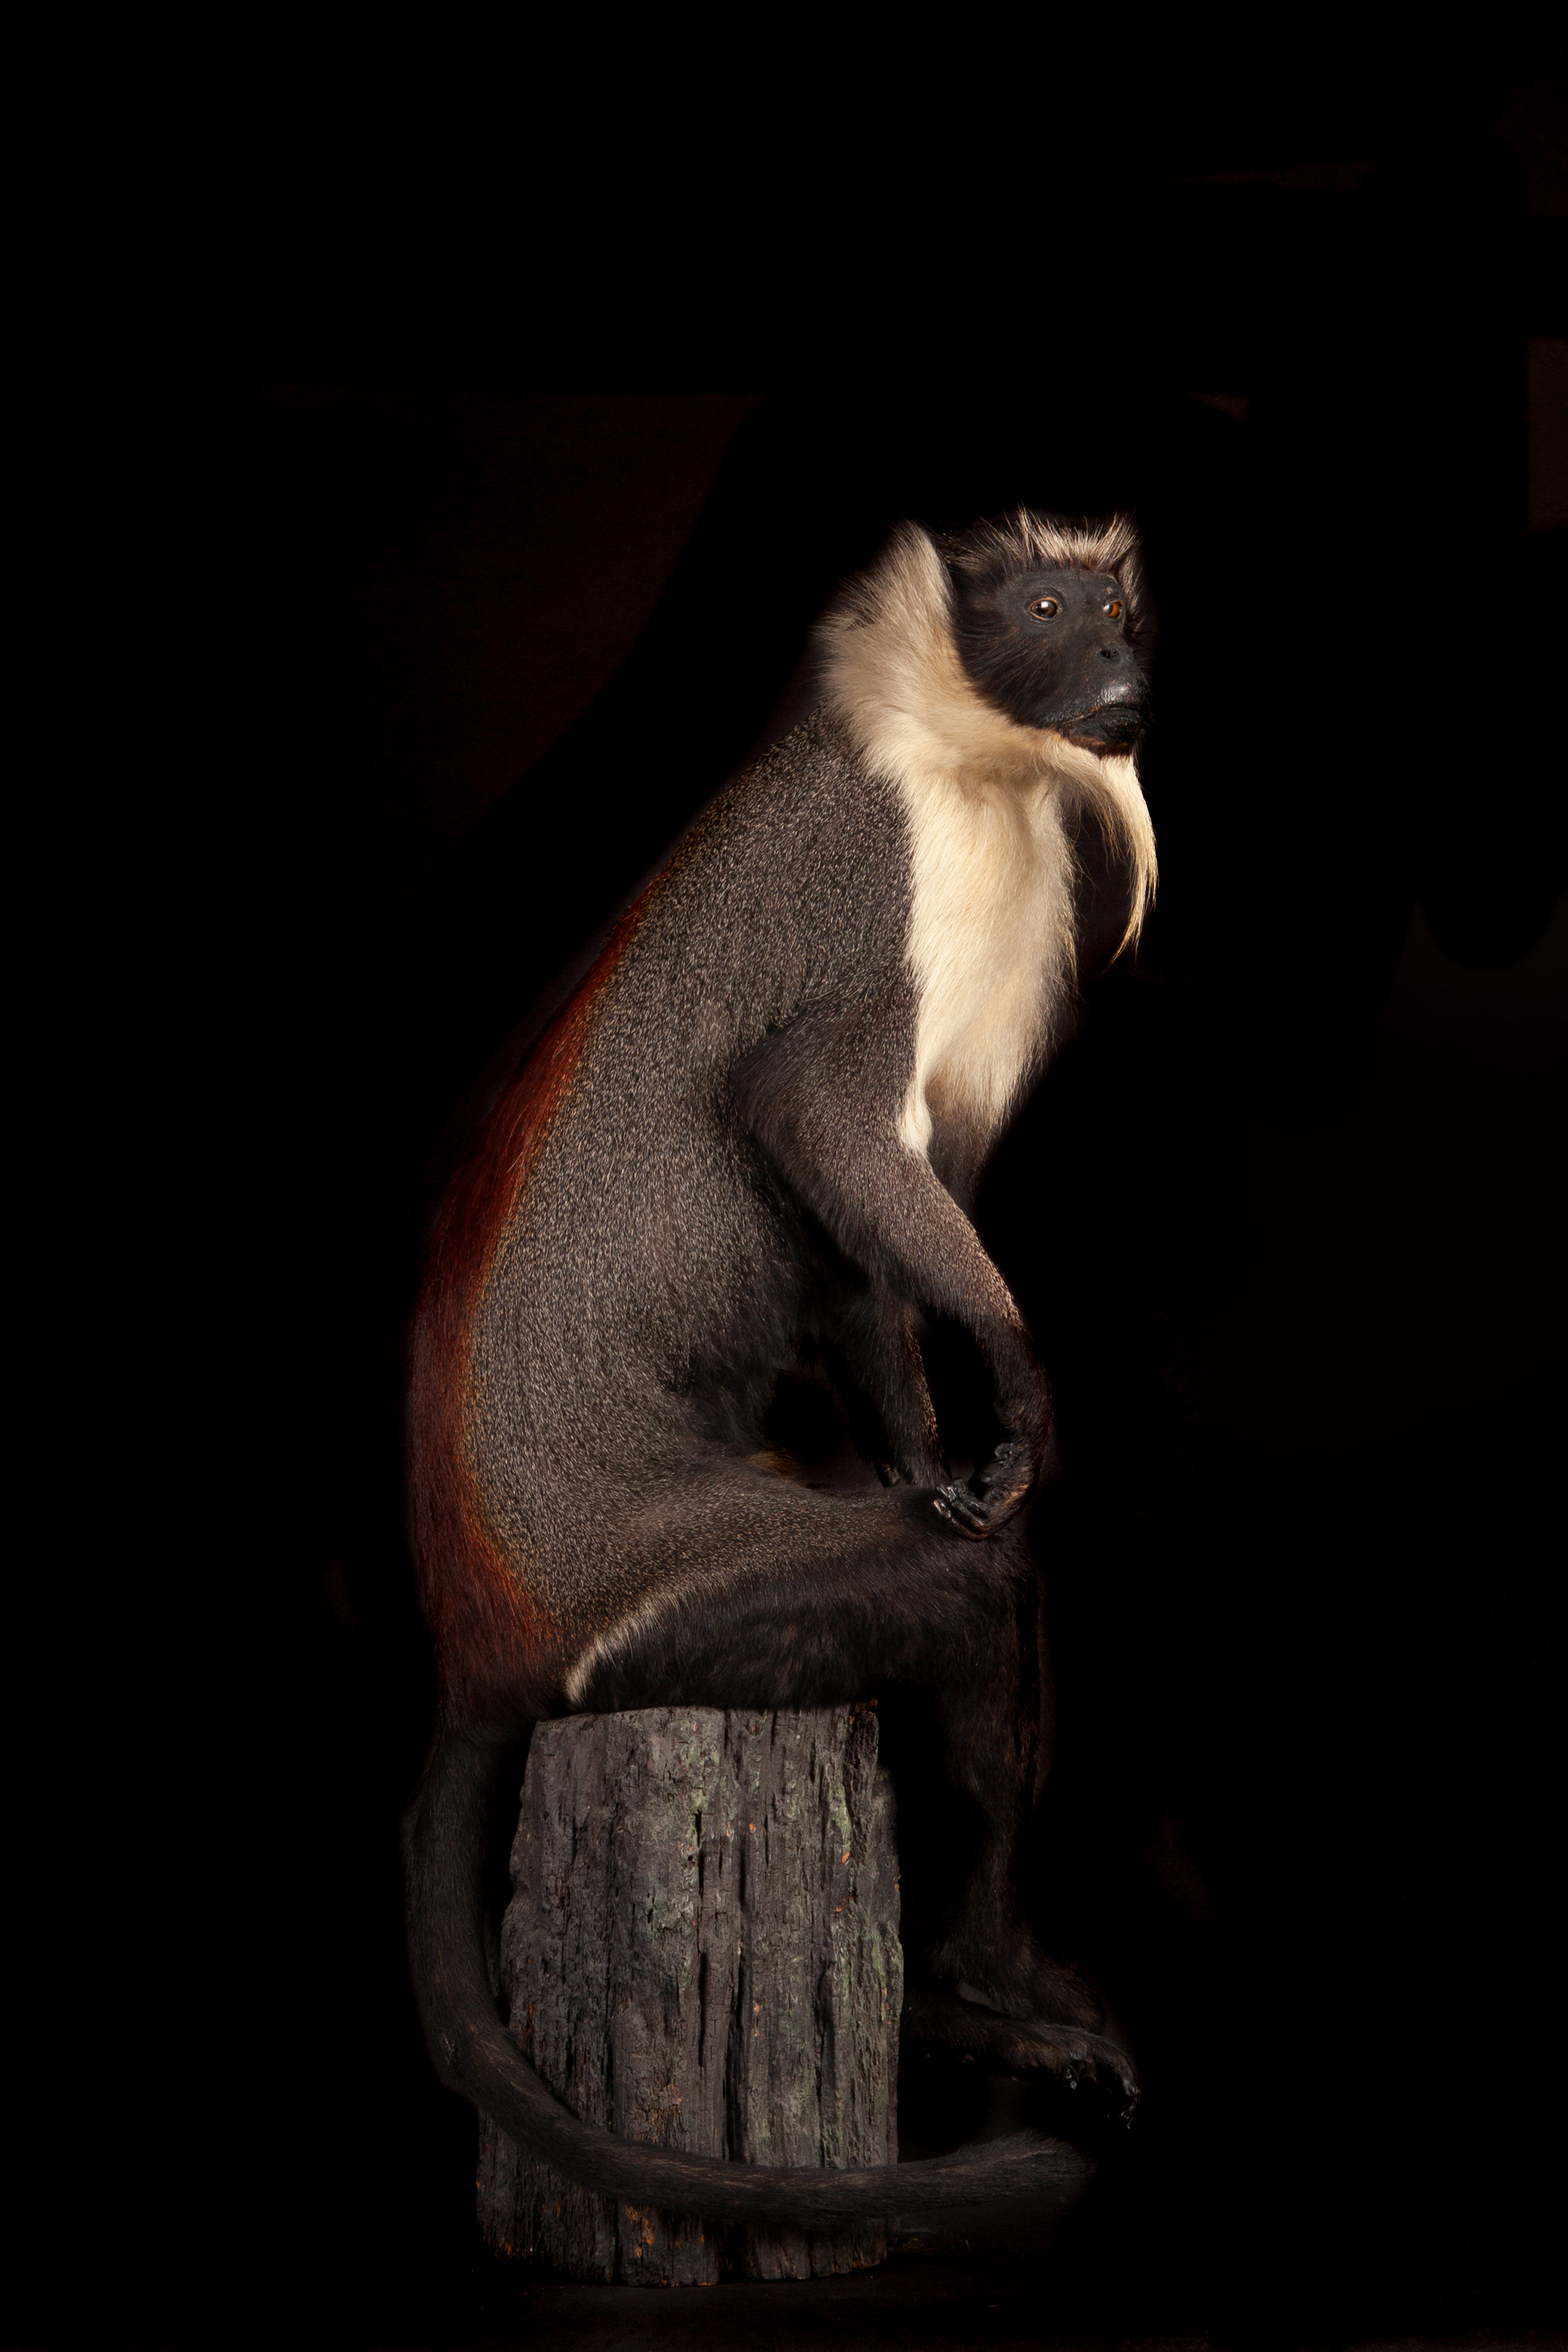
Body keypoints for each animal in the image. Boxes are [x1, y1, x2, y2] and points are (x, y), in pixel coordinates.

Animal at [403, 508, 1158, 2226]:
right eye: (1042, 606)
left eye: (1118, 605)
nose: (1117, 661)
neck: (963, 750)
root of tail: (483, 1643)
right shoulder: (880, 886)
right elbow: (812, 1117)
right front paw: (1020, 1395)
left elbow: (855, 1256)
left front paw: (930, 1453)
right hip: (675, 1620)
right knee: (961, 1596)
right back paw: (977, 1974)